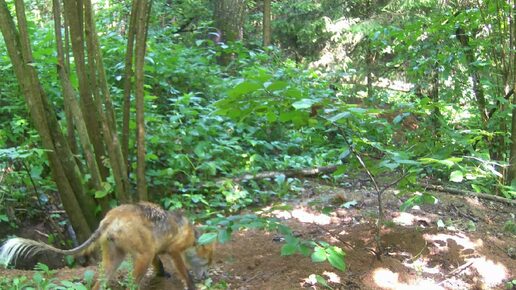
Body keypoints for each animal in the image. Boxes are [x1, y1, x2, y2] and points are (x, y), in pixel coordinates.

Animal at [0, 202, 214, 290]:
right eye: (207, 262)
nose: (206, 276)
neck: (190, 233)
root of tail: (110, 217)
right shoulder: (173, 251)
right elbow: (184, 273)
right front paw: (192, 285)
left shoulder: (156, 248)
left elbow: (159, 264)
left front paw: (162, 274)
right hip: (140, 257)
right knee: (130, 286)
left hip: (114, 259)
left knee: (97, 285)